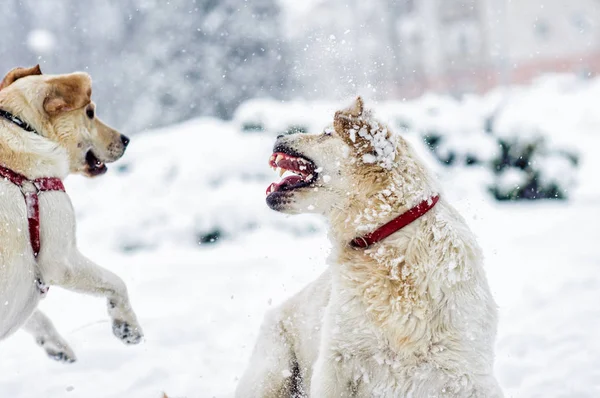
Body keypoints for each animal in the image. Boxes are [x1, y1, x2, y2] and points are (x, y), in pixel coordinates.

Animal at [0, 64, 143, 360]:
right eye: (90, 112)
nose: (126, 140)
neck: (26, 131)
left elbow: (36, 317)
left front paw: (56, 345)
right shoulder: (61, 259)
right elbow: (116, 282)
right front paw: (127, 327)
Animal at [236, 97, 502, 398]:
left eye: (327, 133)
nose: (278, 136)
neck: (390, 250)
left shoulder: (468, 373)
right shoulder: (336, 362)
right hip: (271, 371)